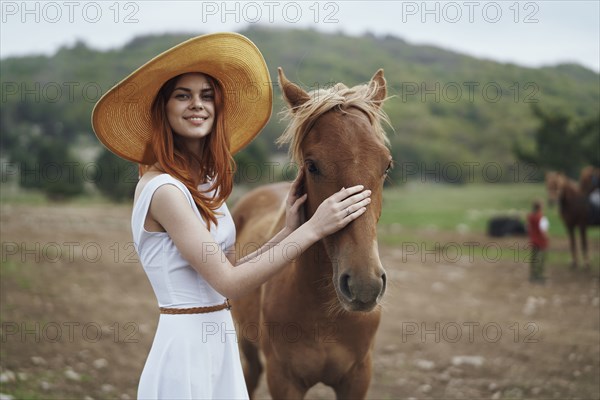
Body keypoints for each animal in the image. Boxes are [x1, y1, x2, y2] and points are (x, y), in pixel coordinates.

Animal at [231, 67, 394, 398]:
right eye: (312, 165)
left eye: (387, 165)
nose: (364, 285)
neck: (325, 313)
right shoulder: (284, 380)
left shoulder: (357, 379)